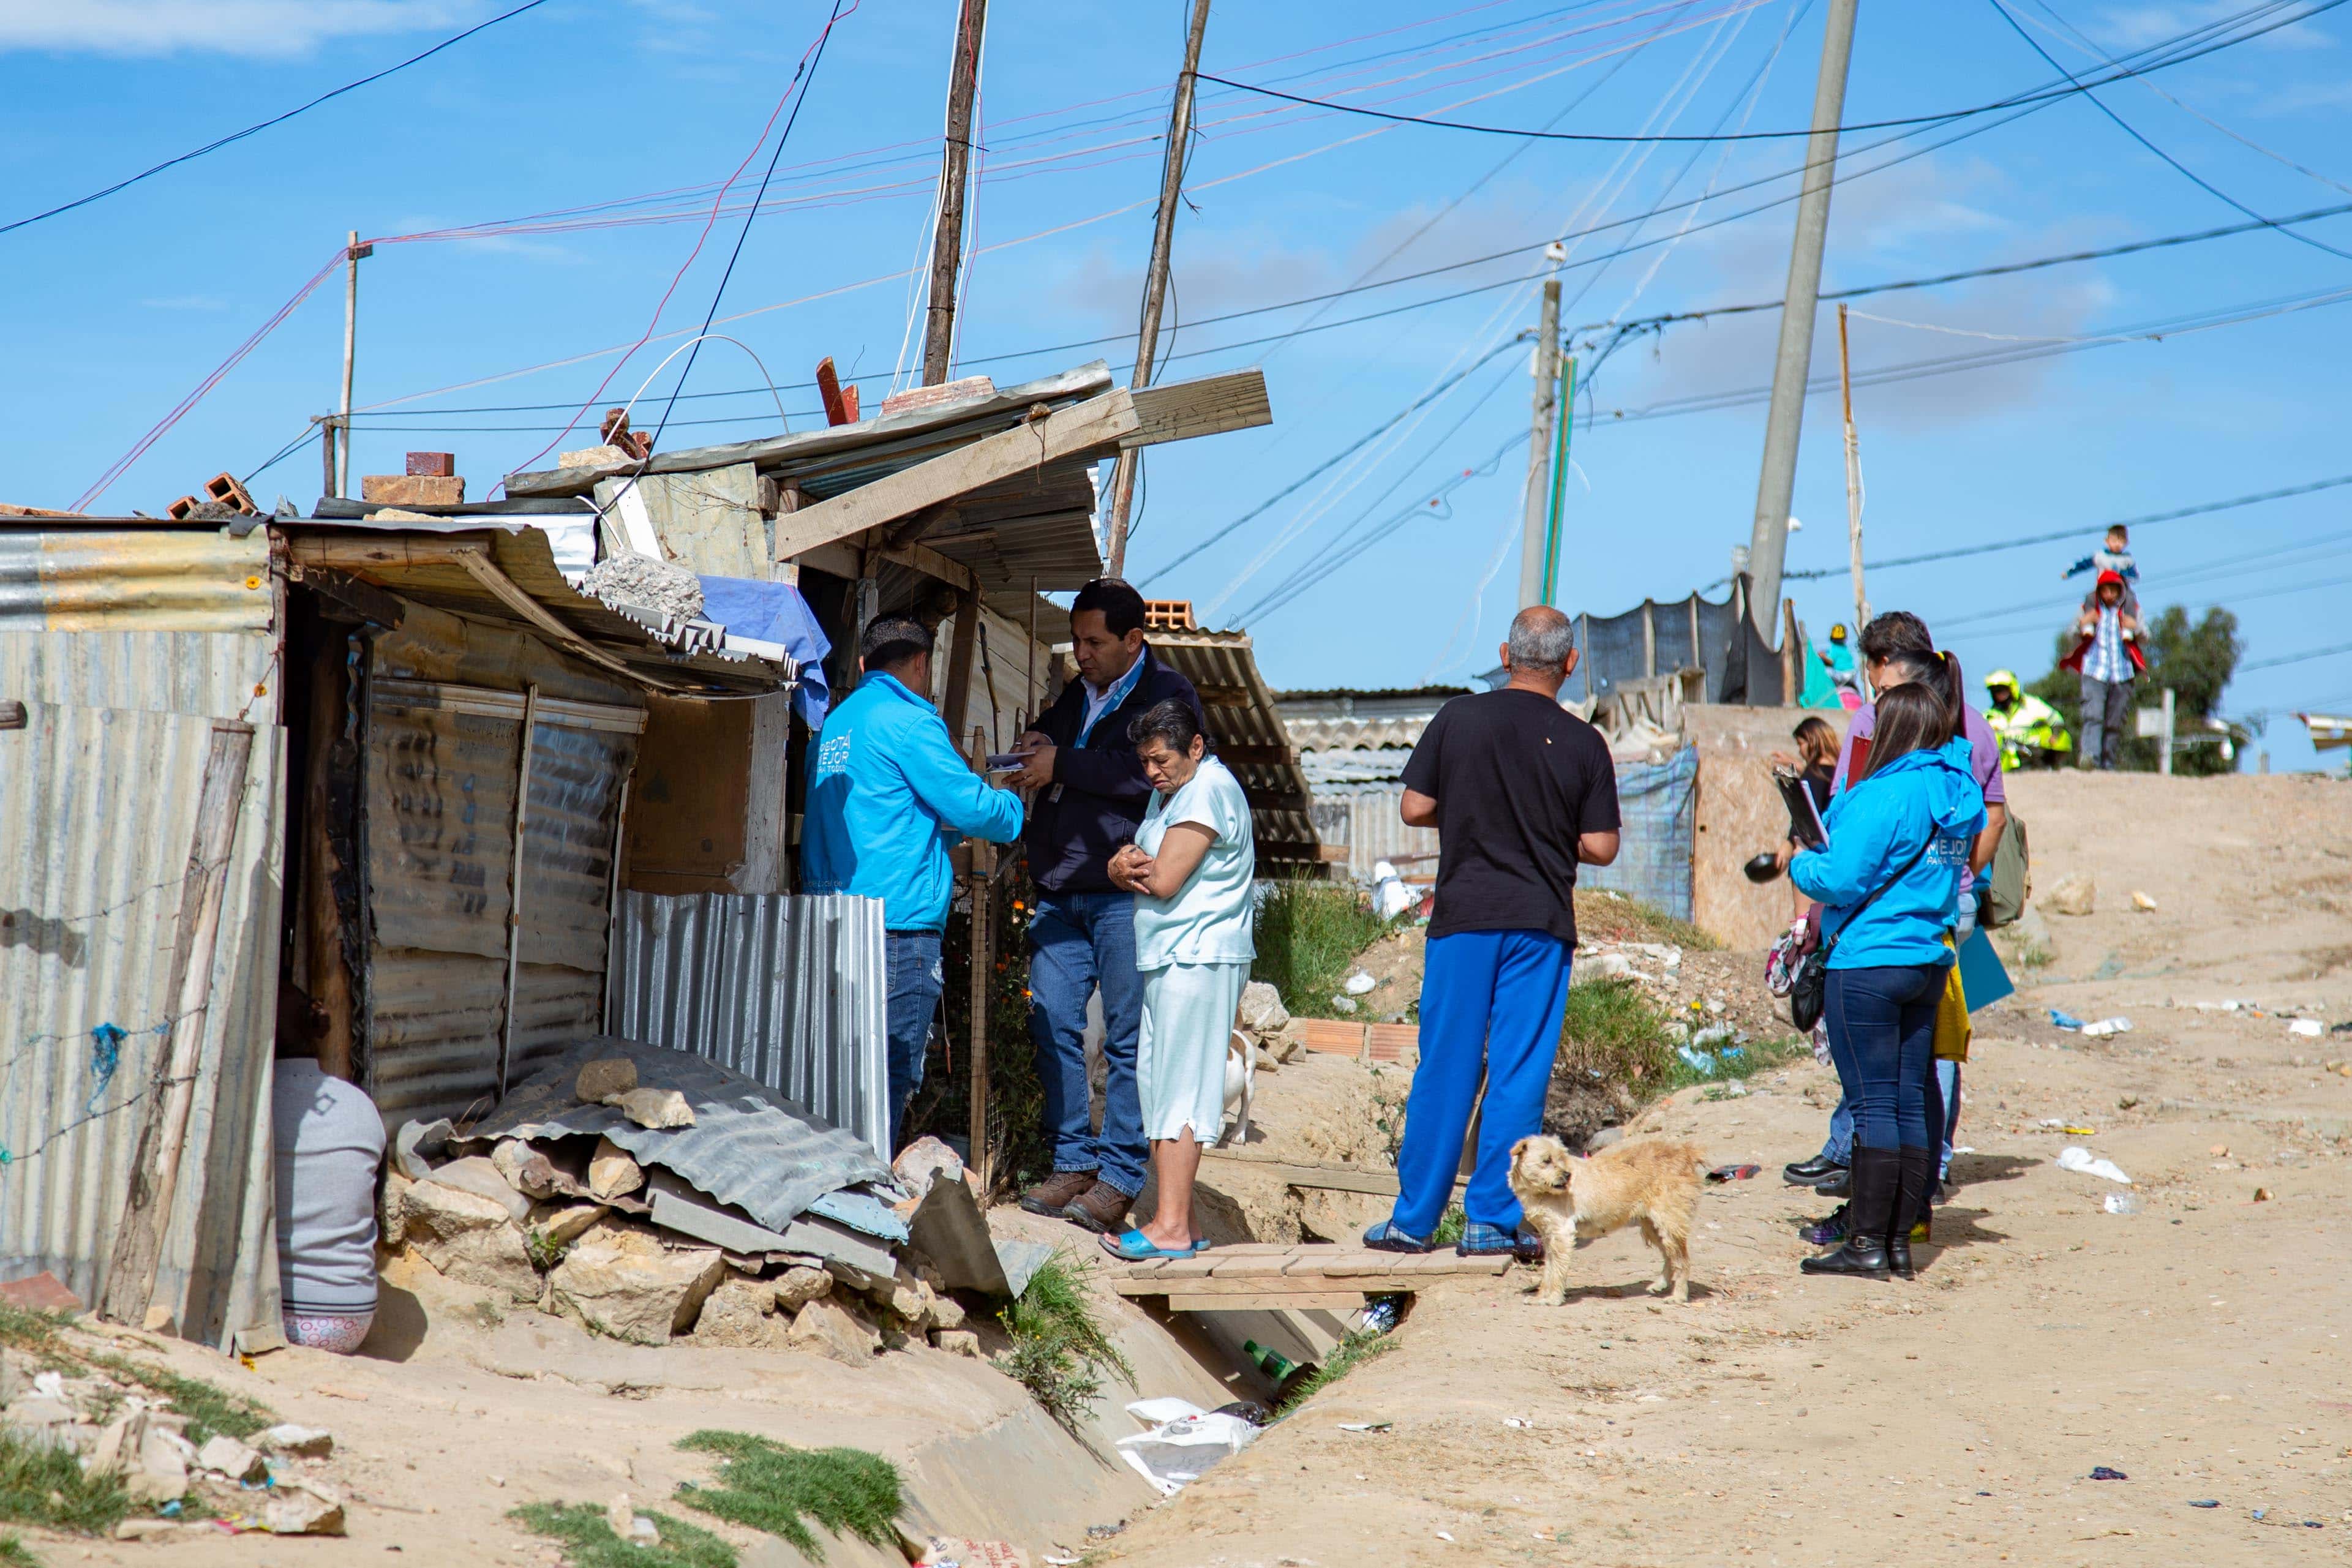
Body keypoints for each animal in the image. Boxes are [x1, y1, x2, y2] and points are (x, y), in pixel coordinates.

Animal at [1514, 1133, 1702, 1307]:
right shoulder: (1548, 1236)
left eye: (1562, 1158)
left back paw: (1679, 1296)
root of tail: (1685, 1152)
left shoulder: (1562, 1234)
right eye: (1546, 1160)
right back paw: (1660, 1284)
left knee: (1683, 1261)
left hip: (1669, 1225)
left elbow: (1557, 1270)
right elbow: (1549, 1269)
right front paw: (1541, 1297)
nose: (1568, 1175)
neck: (1539, 1193)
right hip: (1653, 1227)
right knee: (1670, 1257)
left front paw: (1553, 1299)